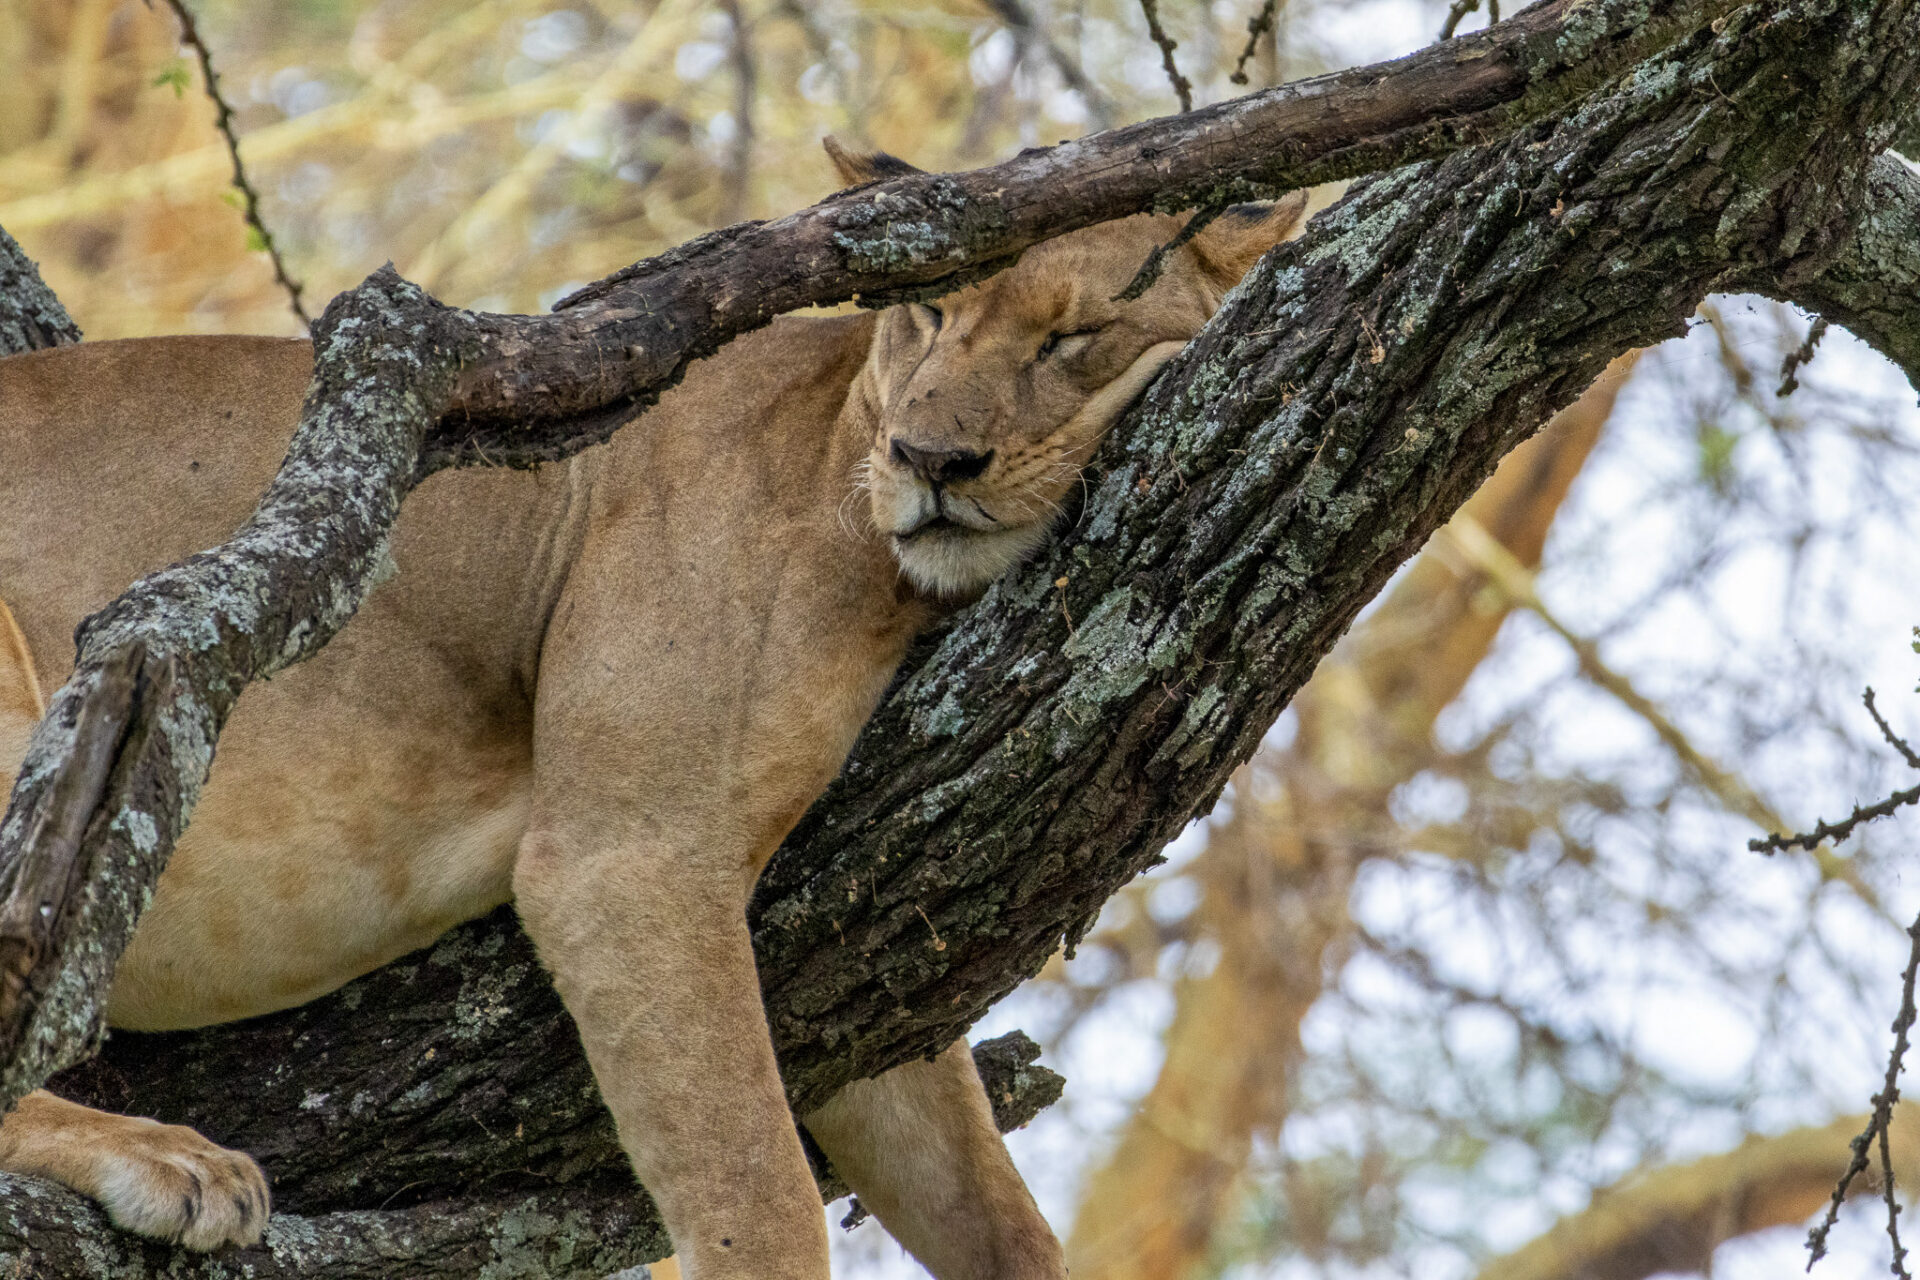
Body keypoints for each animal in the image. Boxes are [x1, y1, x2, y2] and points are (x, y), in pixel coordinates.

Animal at [0, 143, 1304, 1278]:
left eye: (1072, 337)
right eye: (929, 315)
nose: (930, 457)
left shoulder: (873, 988)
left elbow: (993, 1210)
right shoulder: (626, 856)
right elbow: (758, 1193)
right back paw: (169, 1159)